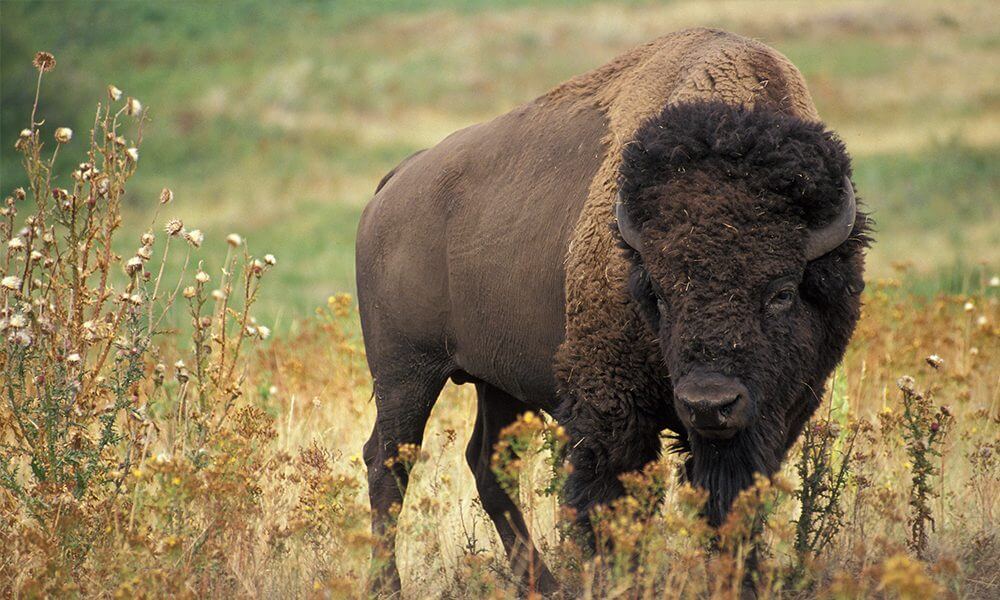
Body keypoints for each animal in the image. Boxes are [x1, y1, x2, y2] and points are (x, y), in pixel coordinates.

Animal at [358, 27, 868, 596]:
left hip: (496, 382)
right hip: (406, 372)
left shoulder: (775, 414)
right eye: (659, 293)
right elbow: (610, 502)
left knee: (486, 464)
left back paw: (543, 583)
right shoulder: (611, 409)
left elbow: (732, 503)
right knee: (388, 463)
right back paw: (389, 585)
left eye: (782, 291)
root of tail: (395, 182)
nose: (709, 403)